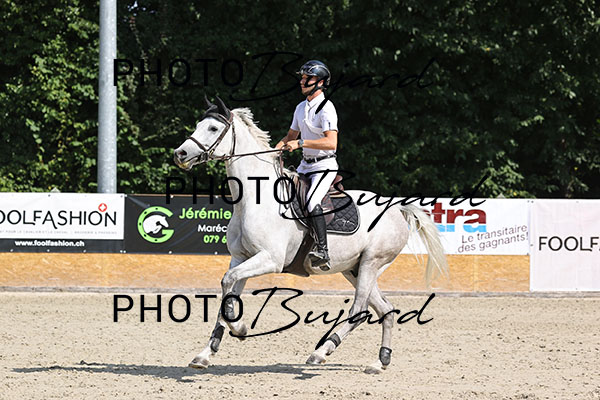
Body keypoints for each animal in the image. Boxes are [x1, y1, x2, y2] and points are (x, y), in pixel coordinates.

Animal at [173, 96, 448, 373]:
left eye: (213, 128)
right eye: (198, 125)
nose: (180, 154)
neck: (253, 199)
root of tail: (396, 207)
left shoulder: (270, 259)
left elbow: (228, 283)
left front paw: (239, 329)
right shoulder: (241, 258)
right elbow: (228, 290)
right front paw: (205, 354)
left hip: (372, 262)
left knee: (360, 309)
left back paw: (322, 351)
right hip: (355, 269)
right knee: (386, 309)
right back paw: (380, 361)